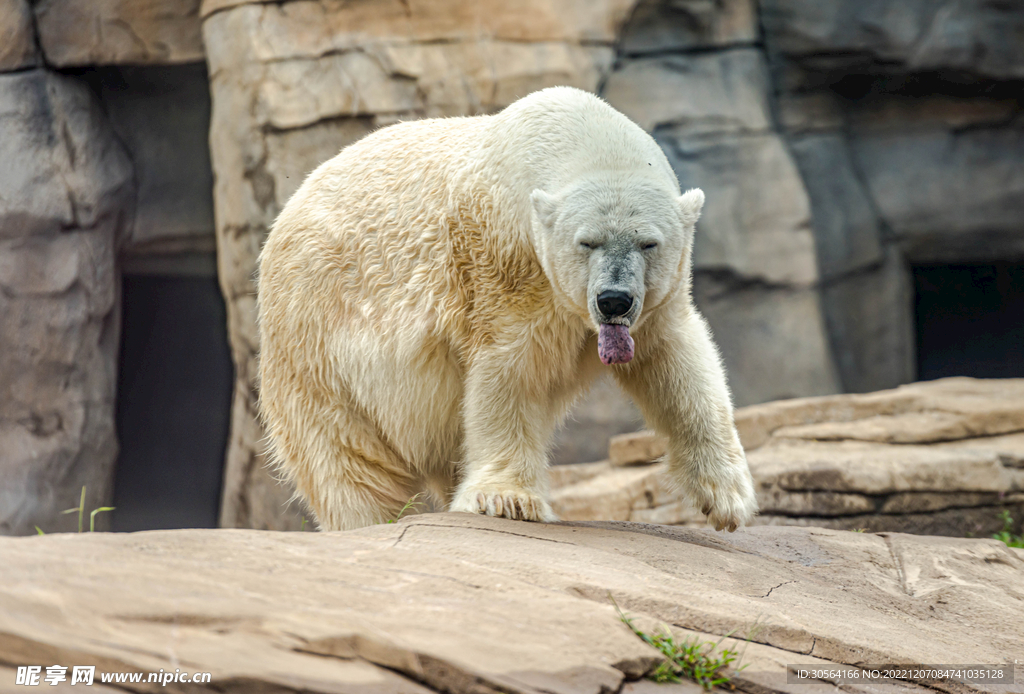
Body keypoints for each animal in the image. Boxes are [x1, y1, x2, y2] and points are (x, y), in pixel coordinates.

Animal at [256, 86, 758, 532]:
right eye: (587, 242)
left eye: (648, 242)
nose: (613, 300)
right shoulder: (504, 265)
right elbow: (510, 370)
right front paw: (509, 499)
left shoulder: (657, 303)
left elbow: (674, 363)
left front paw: (727, 497)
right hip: (315, 336)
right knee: (346, 456)